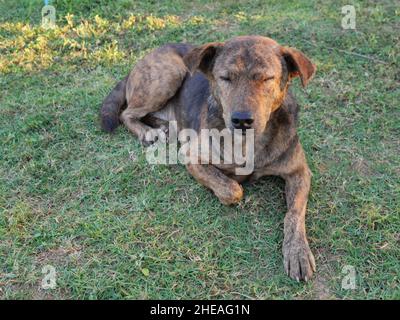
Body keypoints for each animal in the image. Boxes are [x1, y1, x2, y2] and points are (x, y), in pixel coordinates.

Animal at [101, 35, 318, 280]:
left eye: (267, 79)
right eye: (225, 78)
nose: (242, 120)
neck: (249, 142)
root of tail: (148, 55)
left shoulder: (299, 172)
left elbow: (294, 214)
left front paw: (297, 251)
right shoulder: (190, 155)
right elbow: (232, 190)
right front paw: (233, 183)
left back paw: (163, 127)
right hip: (170, 73)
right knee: (125, 113)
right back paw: (147, 132)